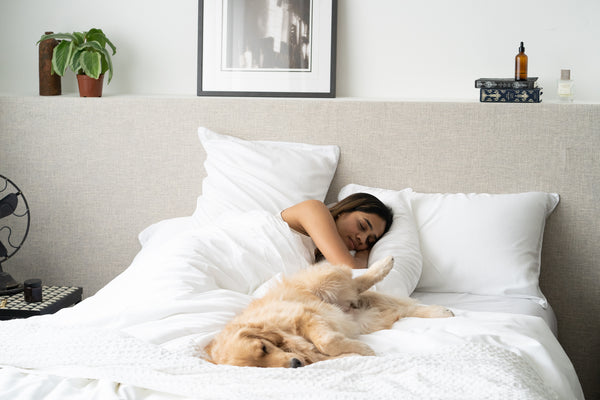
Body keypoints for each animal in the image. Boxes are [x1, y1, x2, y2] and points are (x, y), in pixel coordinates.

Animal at [204, 256, 452, 368]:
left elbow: (328, 342)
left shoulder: (304, 315)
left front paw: (363, 349)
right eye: (259, 368)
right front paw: (357, 353)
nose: (295, 364)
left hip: (323, 283)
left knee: (357, 281)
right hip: (368, 319)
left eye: (264, 348)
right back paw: (440, 311)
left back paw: (384, 265)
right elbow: (328, 353)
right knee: (403, 308)